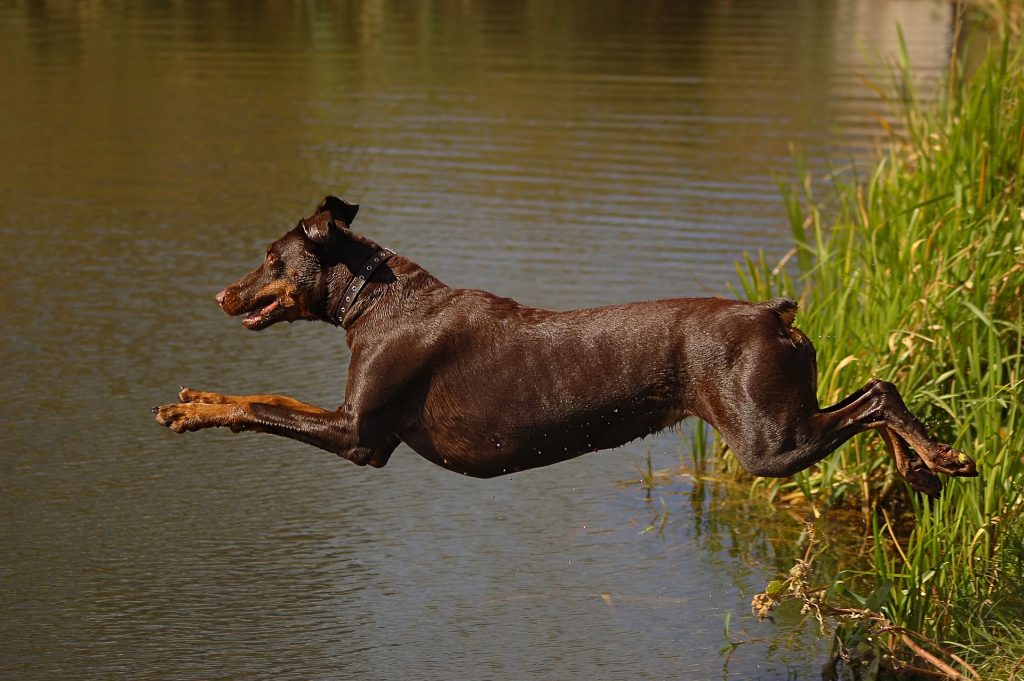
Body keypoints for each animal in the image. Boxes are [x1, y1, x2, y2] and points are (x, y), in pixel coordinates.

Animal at [151, 195, 974, 493]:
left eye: (270, 258)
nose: (221, 294)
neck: (375, 302)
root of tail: (775, 313)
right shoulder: (351, 423)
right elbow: (265, 395)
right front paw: (190, 397)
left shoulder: (360, 435)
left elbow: (261, 405)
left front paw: (195, 410)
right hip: (784, 419)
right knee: (874, 394)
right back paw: (920, 463)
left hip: (771, 441)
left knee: (876, 396)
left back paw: (938, 456)